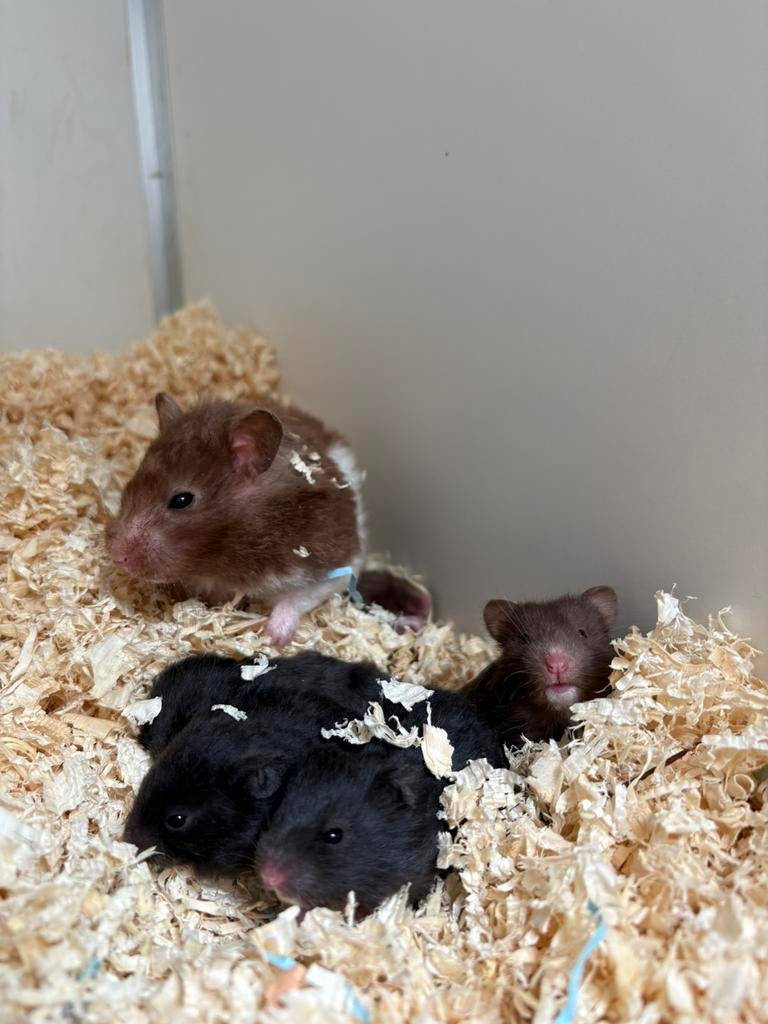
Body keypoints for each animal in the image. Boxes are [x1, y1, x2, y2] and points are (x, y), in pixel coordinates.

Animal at [107, 394, 365, 646]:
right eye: (130, 484)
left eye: (181, 500)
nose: (117, 557)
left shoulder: (330, 564)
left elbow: (297, 598)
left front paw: (271, 639)